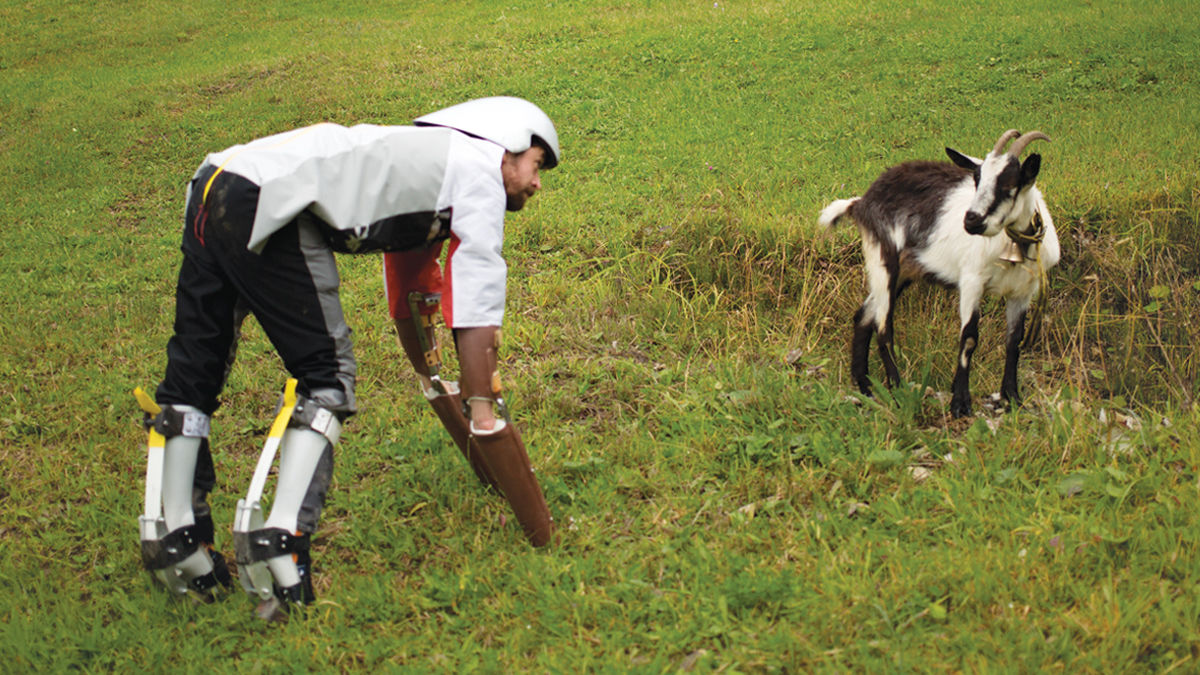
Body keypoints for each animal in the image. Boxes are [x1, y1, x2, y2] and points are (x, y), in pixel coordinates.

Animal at [820, 127, 1065, 415]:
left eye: (1008, 186)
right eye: (977, 180)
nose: (971, 220)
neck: (1014, 245)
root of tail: (861, 202)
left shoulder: (1022, 291)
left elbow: (1014, 341)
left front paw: (1013, 398)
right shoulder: (971, 281)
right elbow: (969, 338)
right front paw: (960, 403)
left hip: (905, 270)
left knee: (863, 317)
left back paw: (866, 388)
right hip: (882, 258)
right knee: (882, 327)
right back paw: (898, 390)